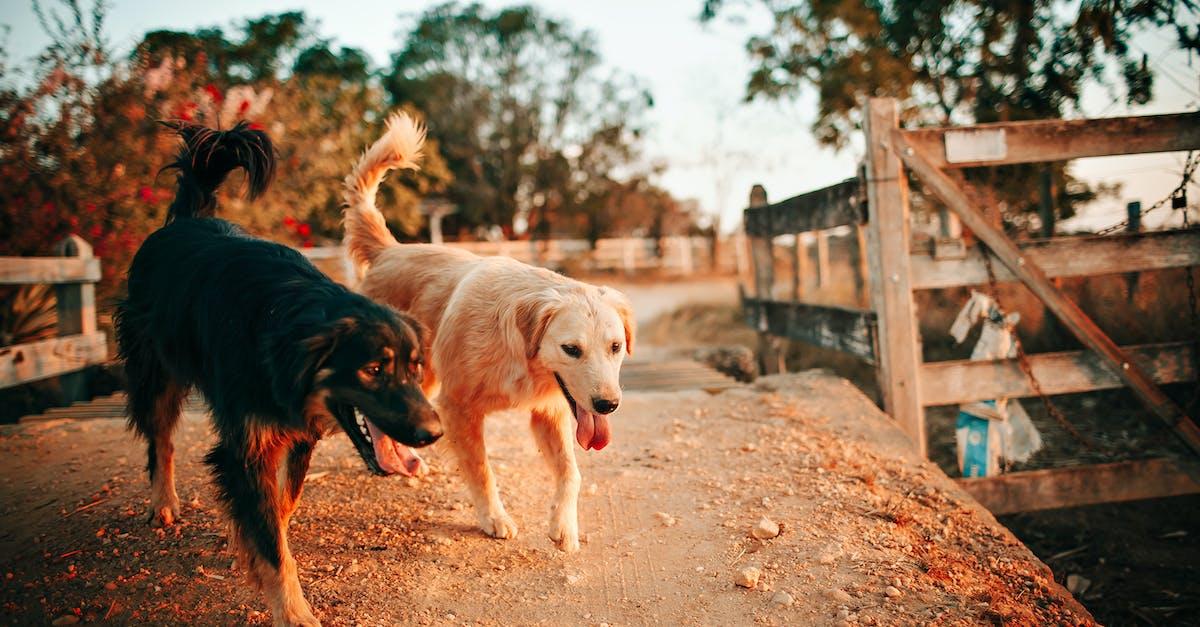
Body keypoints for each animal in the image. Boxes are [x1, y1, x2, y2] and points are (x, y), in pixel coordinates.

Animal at [112, 121, 439, 624]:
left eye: (416, 368)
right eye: (372, 369)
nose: (434, 432)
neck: (285, 328)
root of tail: (186, 220)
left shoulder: (297, 434)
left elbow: (280, 509)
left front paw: (246, 542)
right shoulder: (246, 446)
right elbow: (269, 539)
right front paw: (292, 609)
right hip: (156, 373)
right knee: (160, 440)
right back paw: (163, 502)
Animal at [340, 114, 633, 550]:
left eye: (615, 347)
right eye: (571, 349)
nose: (607, 405)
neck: (520, 356)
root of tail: (390, 250)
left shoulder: (548, 412)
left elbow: (571, 473)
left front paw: (563, 525)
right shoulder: (458, 408)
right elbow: (481, 470)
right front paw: (494, 517)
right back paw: (389, 460)